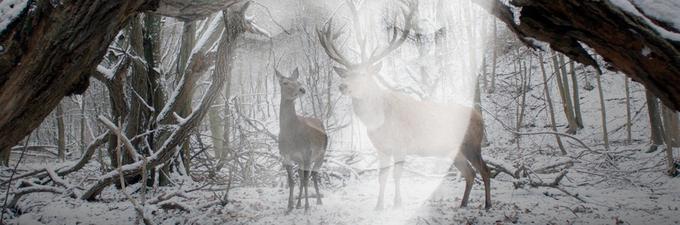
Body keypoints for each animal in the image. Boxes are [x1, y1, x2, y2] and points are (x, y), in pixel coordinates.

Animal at [276, 67, 330, 213]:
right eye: (285, 82)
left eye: (298, 81)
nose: (302, 89)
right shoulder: (285, 156)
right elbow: (291, 181)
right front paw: (289, 207)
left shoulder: (307, 153)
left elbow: (306, 181)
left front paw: (307, 207)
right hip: (301, 161)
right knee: (301, 177)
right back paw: (299, 204)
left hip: (321, 154)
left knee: (313, 175)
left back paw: (318, 200)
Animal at [316, 0, 492, 211]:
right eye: (346, 74)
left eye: (364, 74)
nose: (343, 86)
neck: (379, 120)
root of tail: (480, 117)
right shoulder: (381, 148)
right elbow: (382, 177)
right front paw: (379, 205)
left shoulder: (401, 145)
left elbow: (396, 175)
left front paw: (397, 203)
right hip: (454, 151)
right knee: (470, 173)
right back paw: (463, 204)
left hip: (472, 144)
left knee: (485, 170)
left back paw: (488, 205)